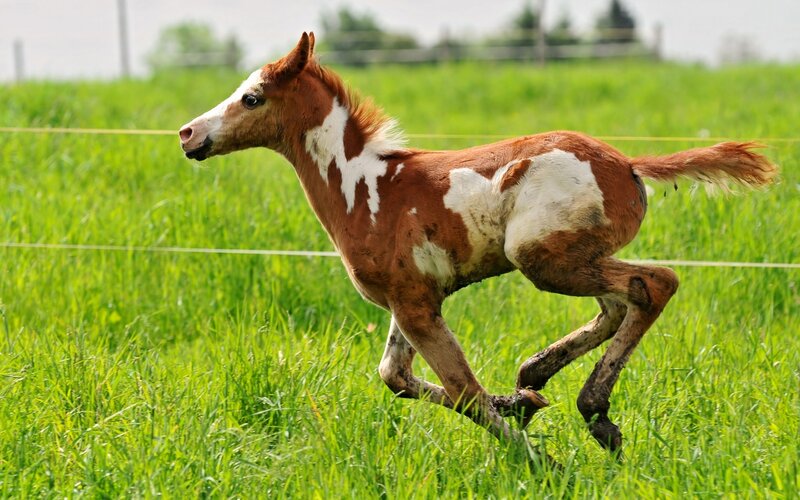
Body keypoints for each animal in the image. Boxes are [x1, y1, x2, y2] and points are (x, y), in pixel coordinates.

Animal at [178, 32, 777, 463]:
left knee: (653, 283)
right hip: (572, 258)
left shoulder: (416, 305)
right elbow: (397, 379)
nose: (187, 134)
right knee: (618, 302)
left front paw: (542, 462)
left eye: (251, 97)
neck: (365, 188)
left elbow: (461, 388)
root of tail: (628, 165)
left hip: (543, 260)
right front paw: (517, 406)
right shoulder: (409, 301)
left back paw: (593, 411)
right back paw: (537, 382)